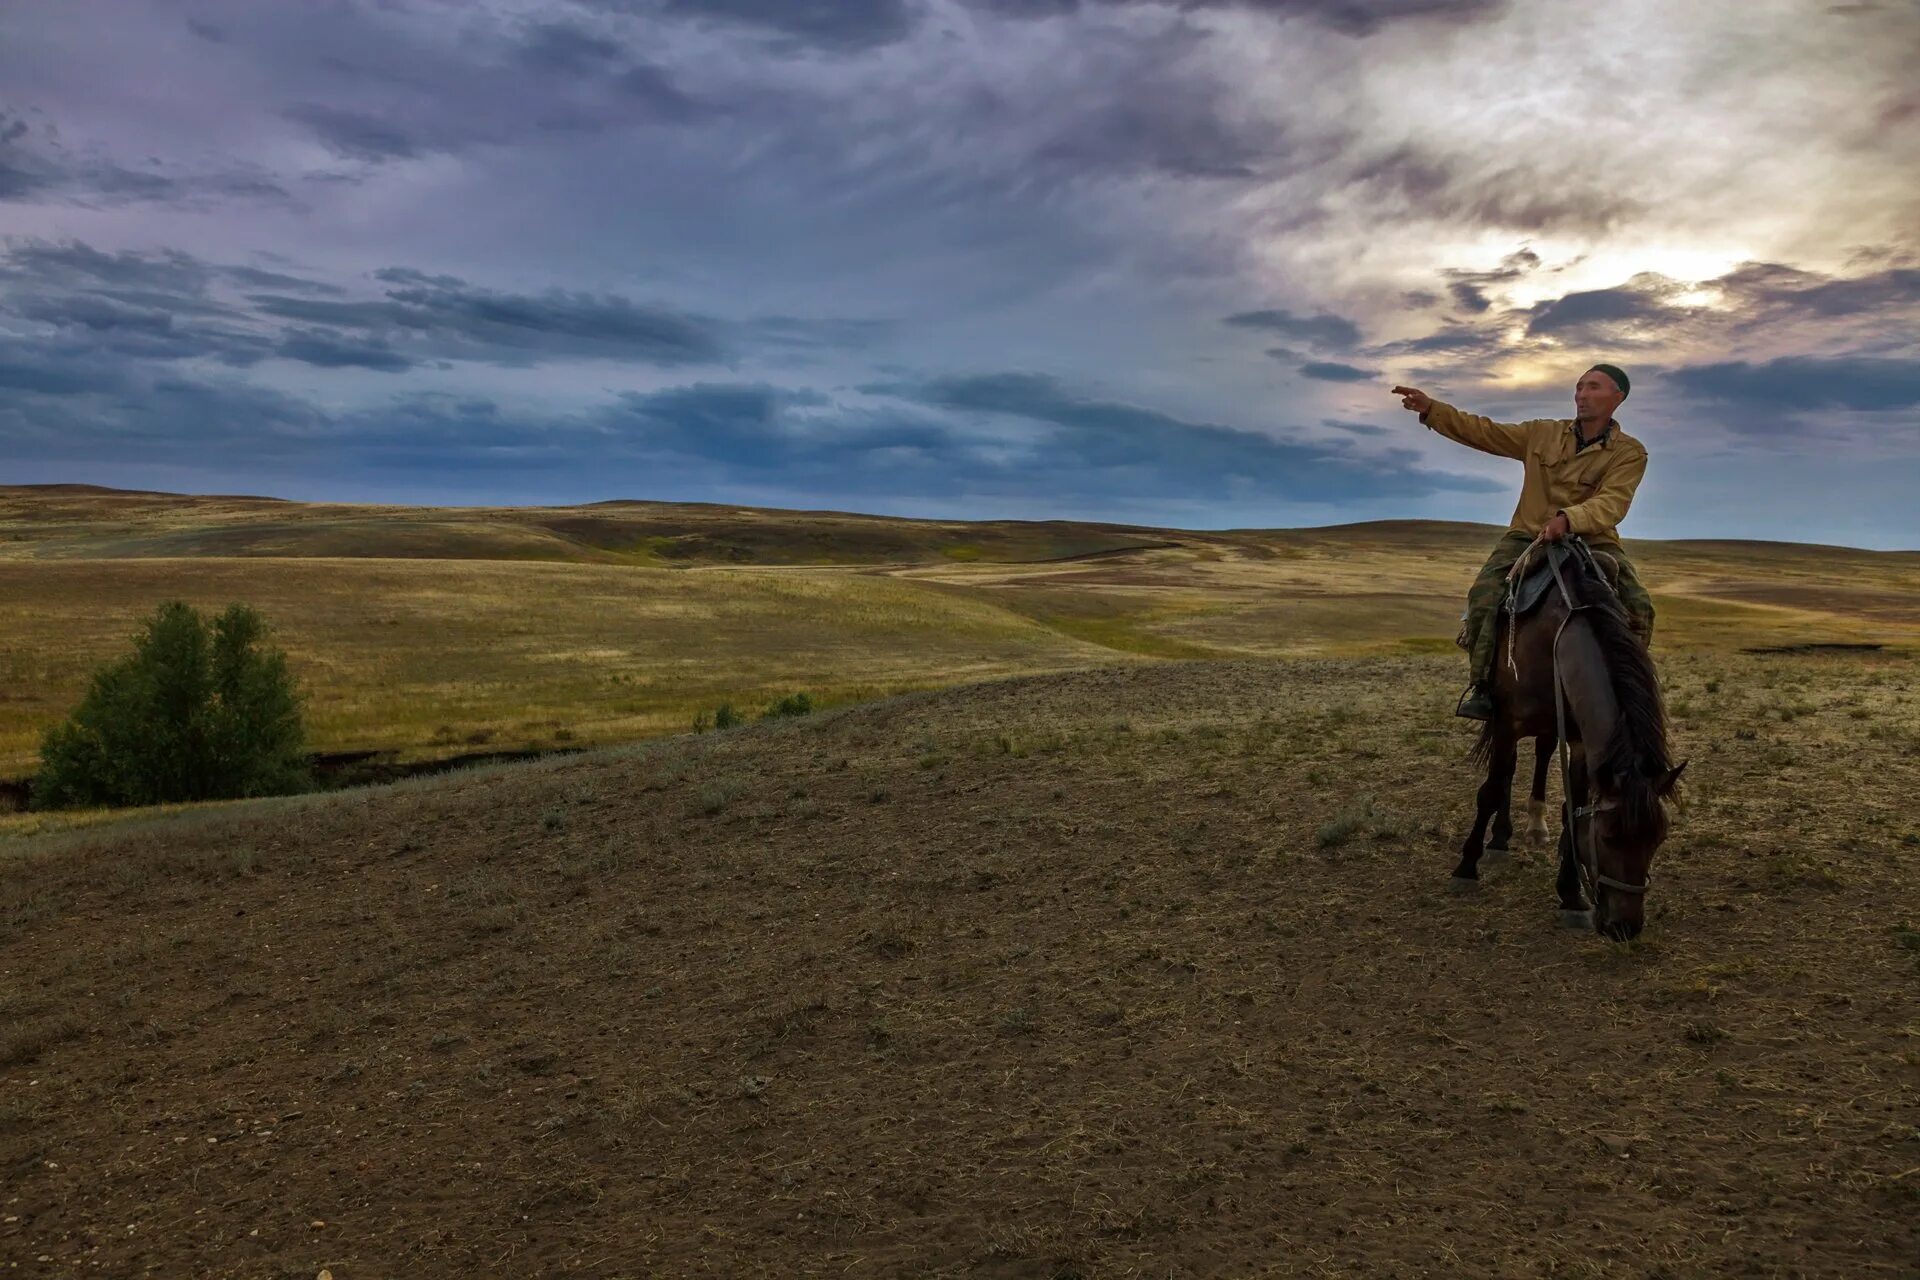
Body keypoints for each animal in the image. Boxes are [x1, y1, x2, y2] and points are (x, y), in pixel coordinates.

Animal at [1451, 537, 1681, 948]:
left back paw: (1536, 829)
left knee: (1542, 754)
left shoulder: (1582, 743)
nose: (1624, 928)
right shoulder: (1507, 723)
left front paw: (1572, 897)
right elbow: (1491, 790)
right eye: (1608, 838)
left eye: (1658, 839)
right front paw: (1467, 865)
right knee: (1507, 771)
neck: (1556, 636)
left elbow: (1574, 808)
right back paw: (1499, 840)